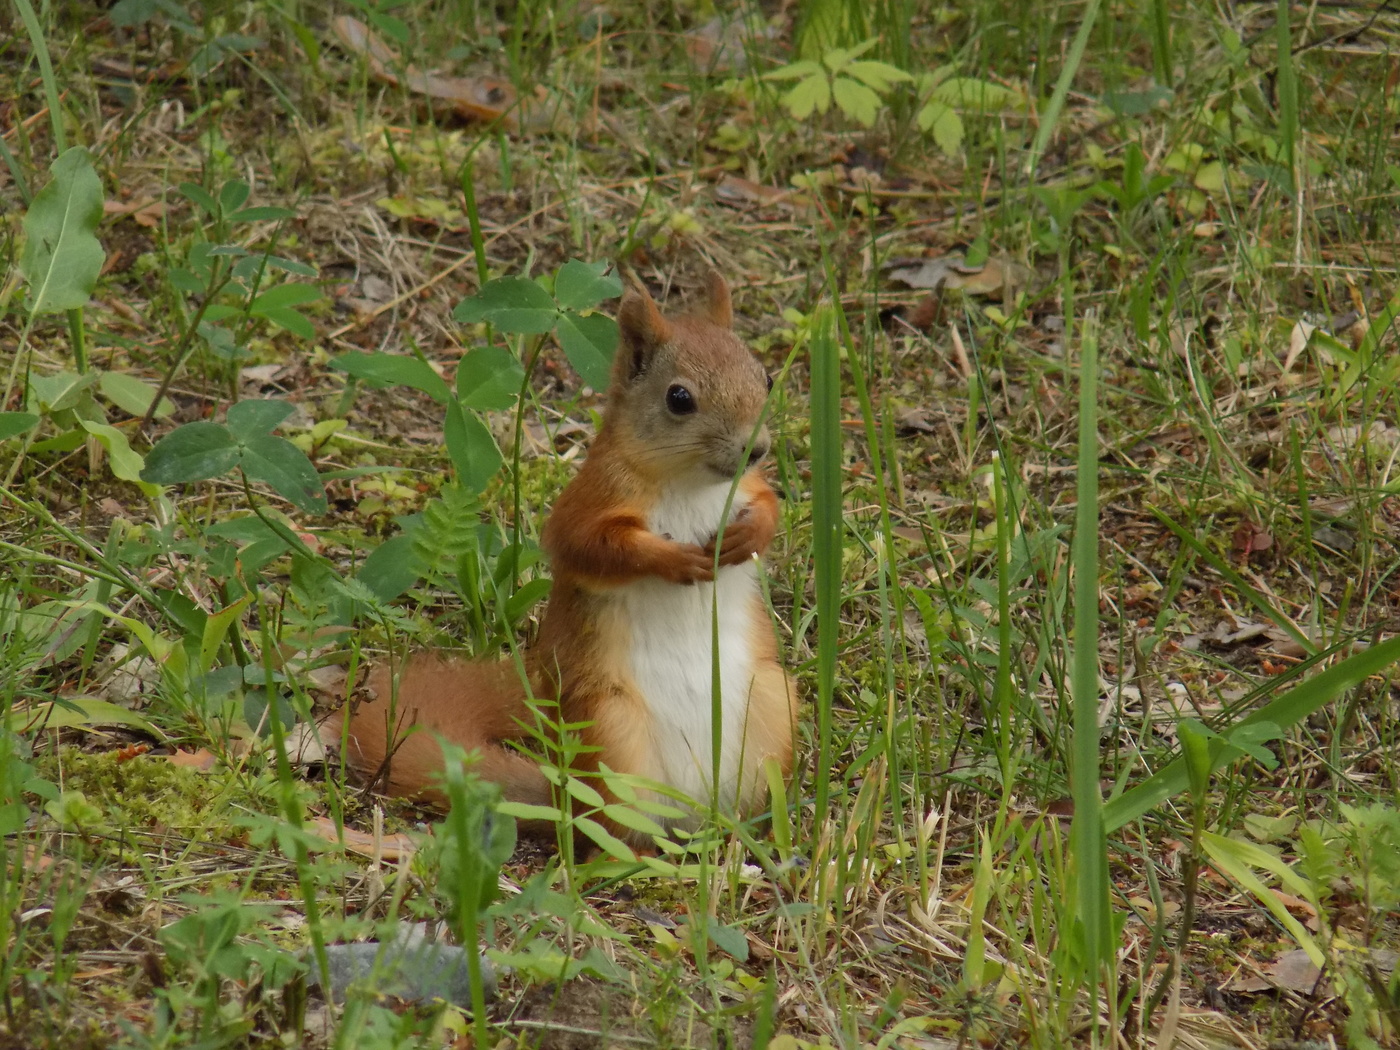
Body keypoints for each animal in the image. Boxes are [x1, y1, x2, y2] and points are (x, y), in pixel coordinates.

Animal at [333, 272, 796, 845]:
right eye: (679, 398)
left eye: (767, 378)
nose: (757, 449)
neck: (691, 485)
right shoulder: (589, 501)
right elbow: (590, 546)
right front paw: (672, 560)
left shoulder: (749, 487)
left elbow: (771, 507)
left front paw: (748, 534)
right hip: (612, 733)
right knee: (609, 828)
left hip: (774, 705)